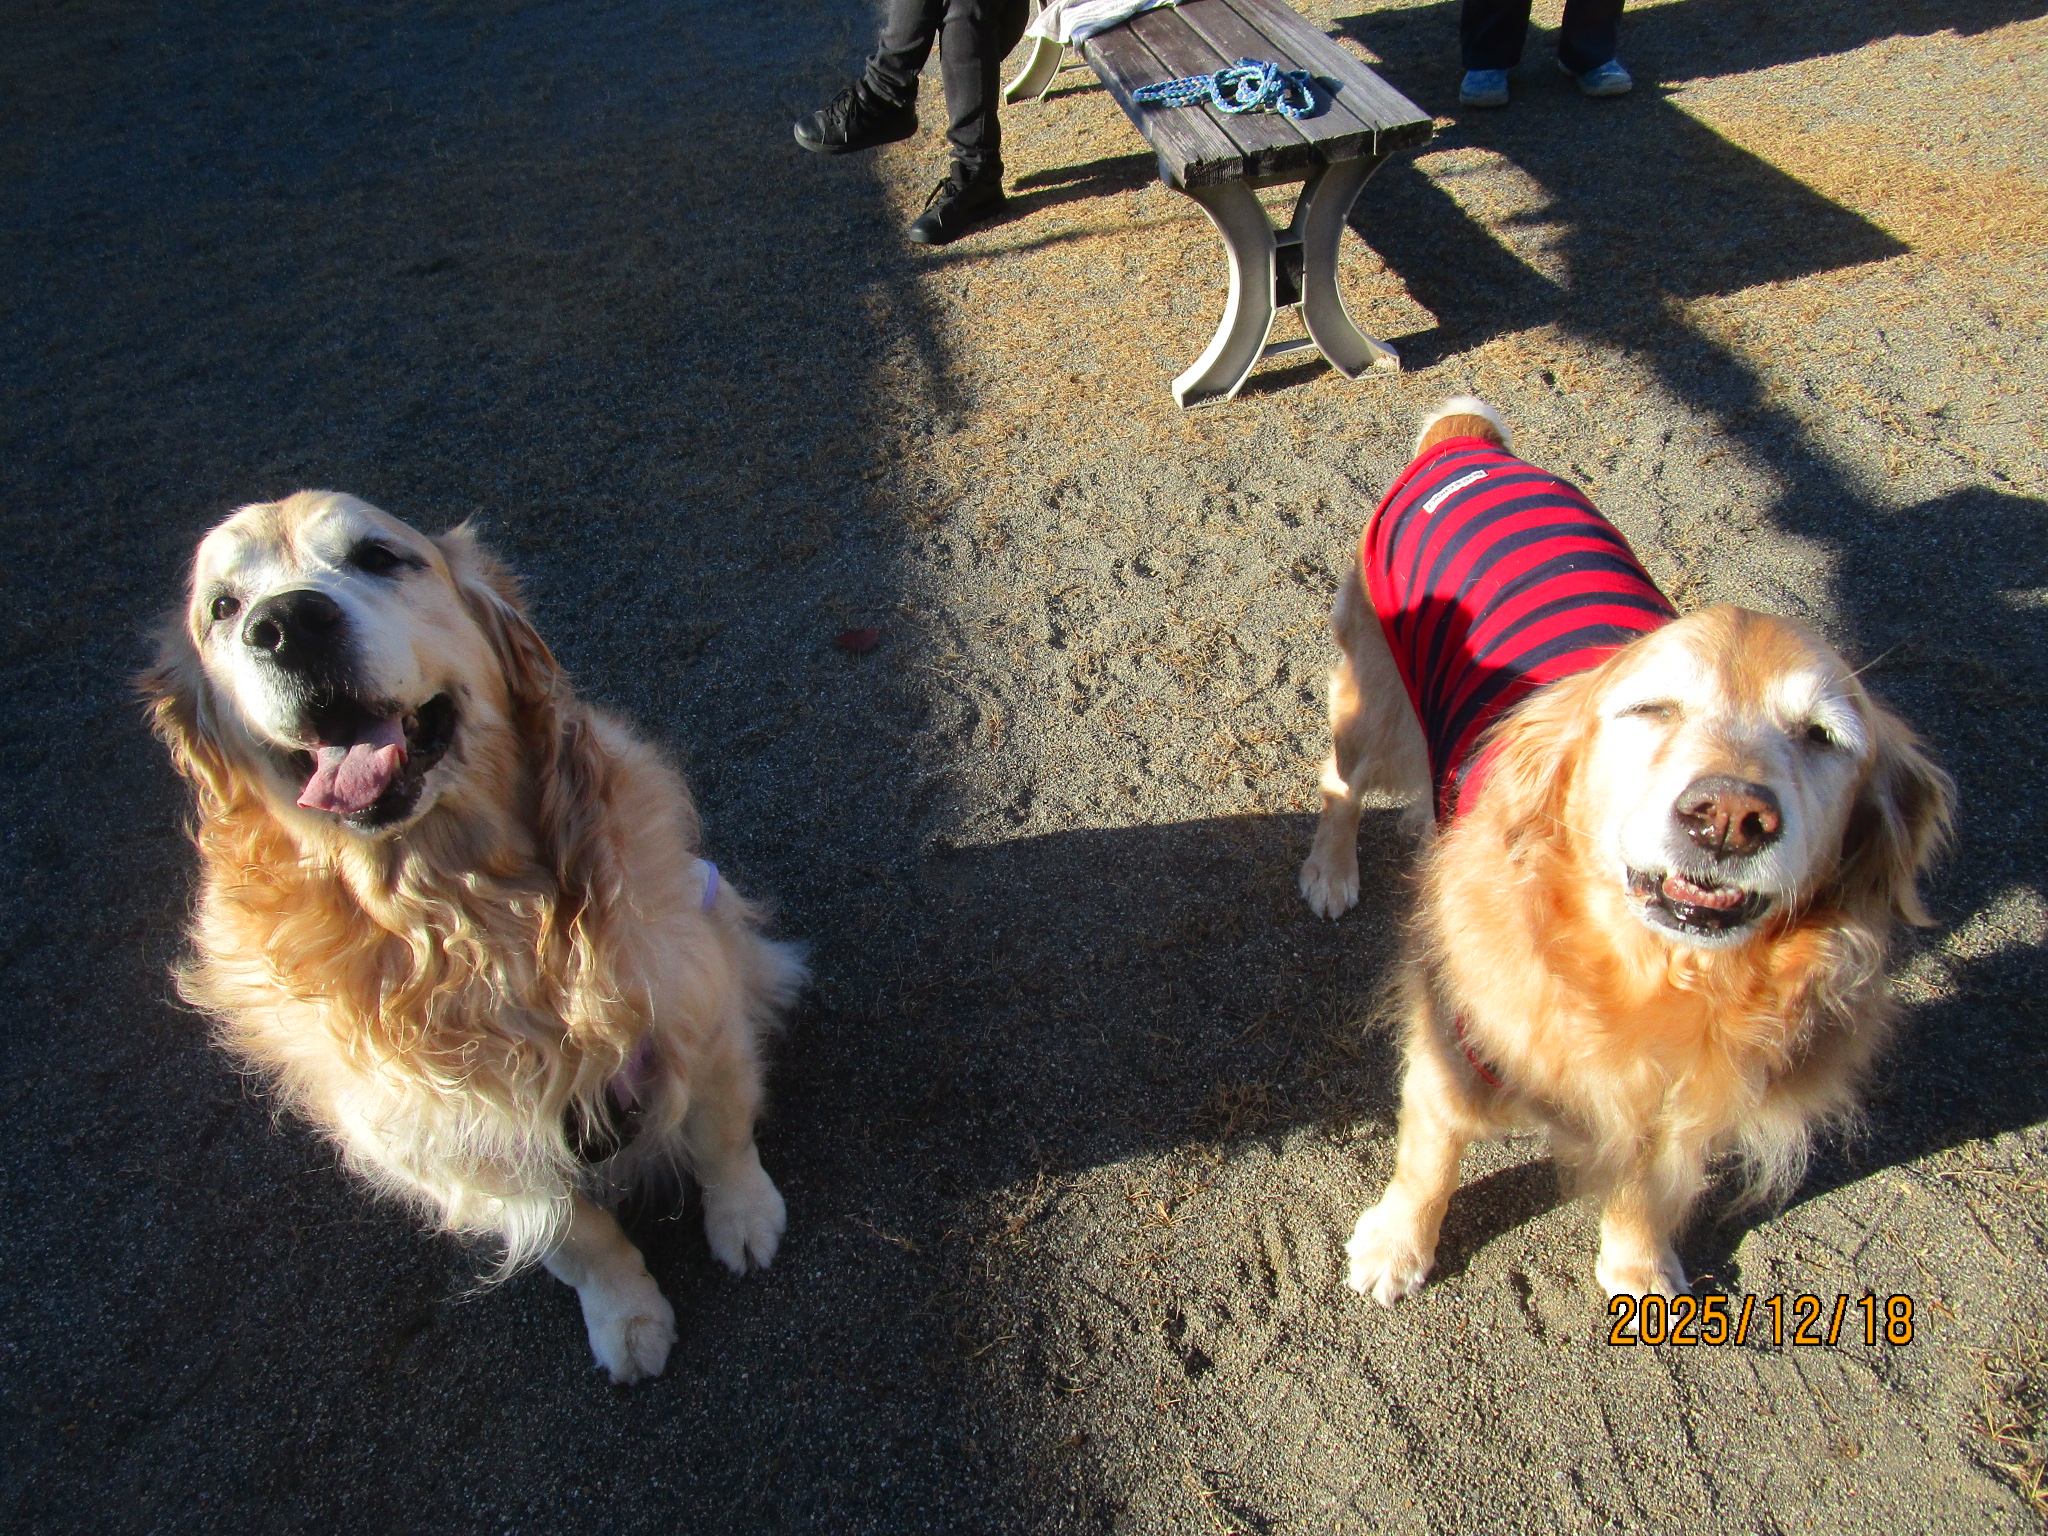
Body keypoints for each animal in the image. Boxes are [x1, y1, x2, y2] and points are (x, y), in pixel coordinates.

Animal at [144, 491, 805, 1381]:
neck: (470, 923)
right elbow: (579, 1241)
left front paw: (744, 1218)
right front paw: (627, 1316)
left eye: (378, 557)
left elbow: (723, 1136)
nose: (286, 624)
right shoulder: (456, 1152)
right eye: (222, 607)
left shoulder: (698, 1007)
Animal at [1300, 398, 1951, 1301]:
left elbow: (1646, 1186)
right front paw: (1397, 1248)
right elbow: (1429, 1160)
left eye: (1823, 737)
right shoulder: (1454, 1043)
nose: (1730, 816)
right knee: (1341, 779)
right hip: (1379, 709)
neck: (1646, 975)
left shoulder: (1682, 1100)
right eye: (1651, 708)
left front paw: (1639, 1268)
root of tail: (1467, 442)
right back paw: (1331, 871)